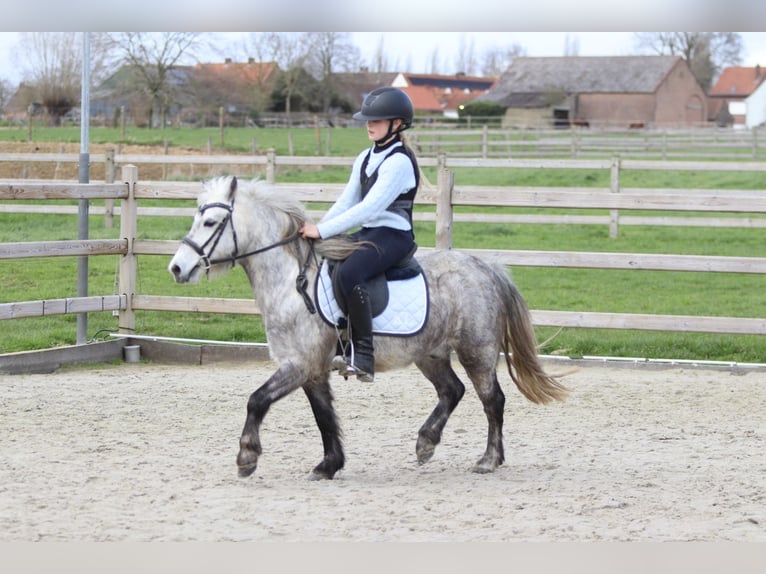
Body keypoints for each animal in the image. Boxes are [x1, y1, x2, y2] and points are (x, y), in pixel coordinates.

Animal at [168, 175, 569, 480]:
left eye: (209, 223)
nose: (177, 267)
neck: (291, 283)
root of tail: (486, 267)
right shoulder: (312, 370)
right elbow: (324, 417)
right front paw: (329, 465)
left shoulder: (299, 364)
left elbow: (257, 400)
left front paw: (247, 457)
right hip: (430, 354)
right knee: (451, 391)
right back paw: (426, 443)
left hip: (477, 351)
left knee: (492, 400)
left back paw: (488, 459)